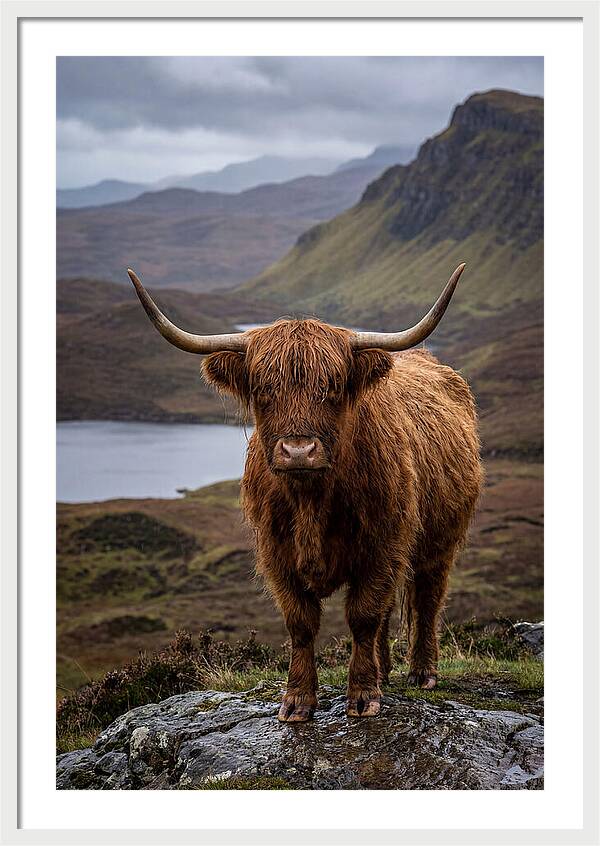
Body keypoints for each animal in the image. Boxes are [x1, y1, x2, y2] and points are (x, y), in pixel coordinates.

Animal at [128, 265, 483, 722]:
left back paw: (422, 672)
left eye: (332, 386)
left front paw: (363, 695)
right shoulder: (277, 553)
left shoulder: (383, 546)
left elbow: (363, 615)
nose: (298, 450)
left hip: (439, 541)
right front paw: (297, 700)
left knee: (427, 598)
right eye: (263, 388)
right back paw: (386, 670)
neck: (312, 500)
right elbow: (301, 622)